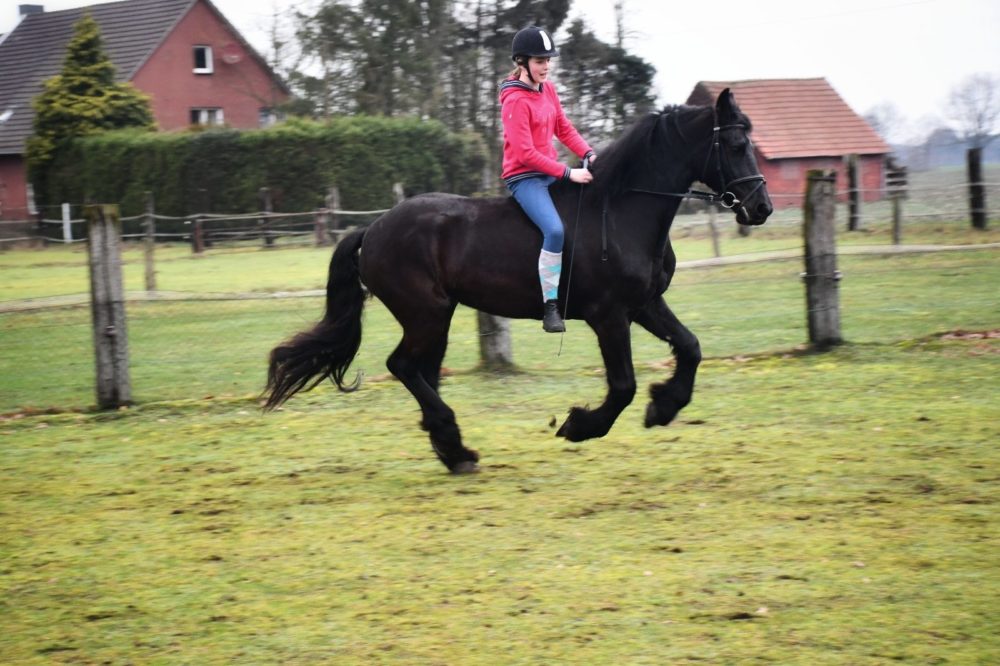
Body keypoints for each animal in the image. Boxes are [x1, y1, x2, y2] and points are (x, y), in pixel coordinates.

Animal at [262, 89, 768, 472]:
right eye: (736, 145)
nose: (760, 208)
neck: (621, 209)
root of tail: (374, 229)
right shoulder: (609, 316)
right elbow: (622, 384)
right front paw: (579, 426)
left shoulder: (644, 305)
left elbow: (690, 348)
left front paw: (663, 405)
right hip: (426, 314)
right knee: (403, 366)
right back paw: (454, 444)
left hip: (438, 318)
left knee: (424, 373)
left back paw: (453, 449)